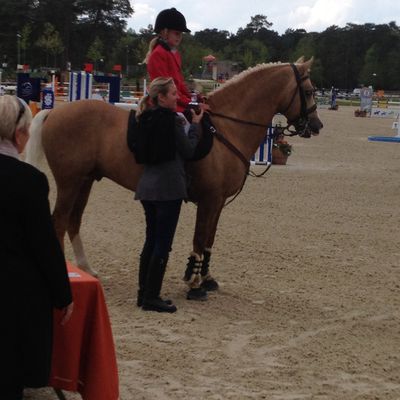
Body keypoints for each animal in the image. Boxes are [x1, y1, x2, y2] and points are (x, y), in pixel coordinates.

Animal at [26, 57, 322, 300]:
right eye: (308, 91)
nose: (317, 126)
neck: (225, 129)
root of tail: (55, 111)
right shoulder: (209, 201)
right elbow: (199, 239)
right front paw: (194, 282)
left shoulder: (217, 203)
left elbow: (210, 239)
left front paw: (207, 277)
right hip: (69, 182)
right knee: (59, 222)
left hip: (85, 181)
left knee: (73, 221)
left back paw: (87, 269)